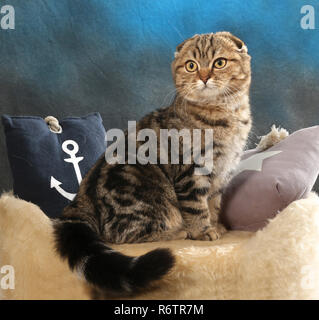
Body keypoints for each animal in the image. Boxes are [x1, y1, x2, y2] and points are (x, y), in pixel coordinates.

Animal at [53, 32, 252, 298]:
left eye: (219, 63)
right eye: (191, 66)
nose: (204, 77)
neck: (223, 115)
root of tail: (80, 201)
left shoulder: (222, 173)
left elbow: (214, 203)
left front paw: (216, 224)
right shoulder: (191, 172)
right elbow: (197, 207)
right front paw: (202, 230)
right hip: (146, 197)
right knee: (119, 234)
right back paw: (178, 231)